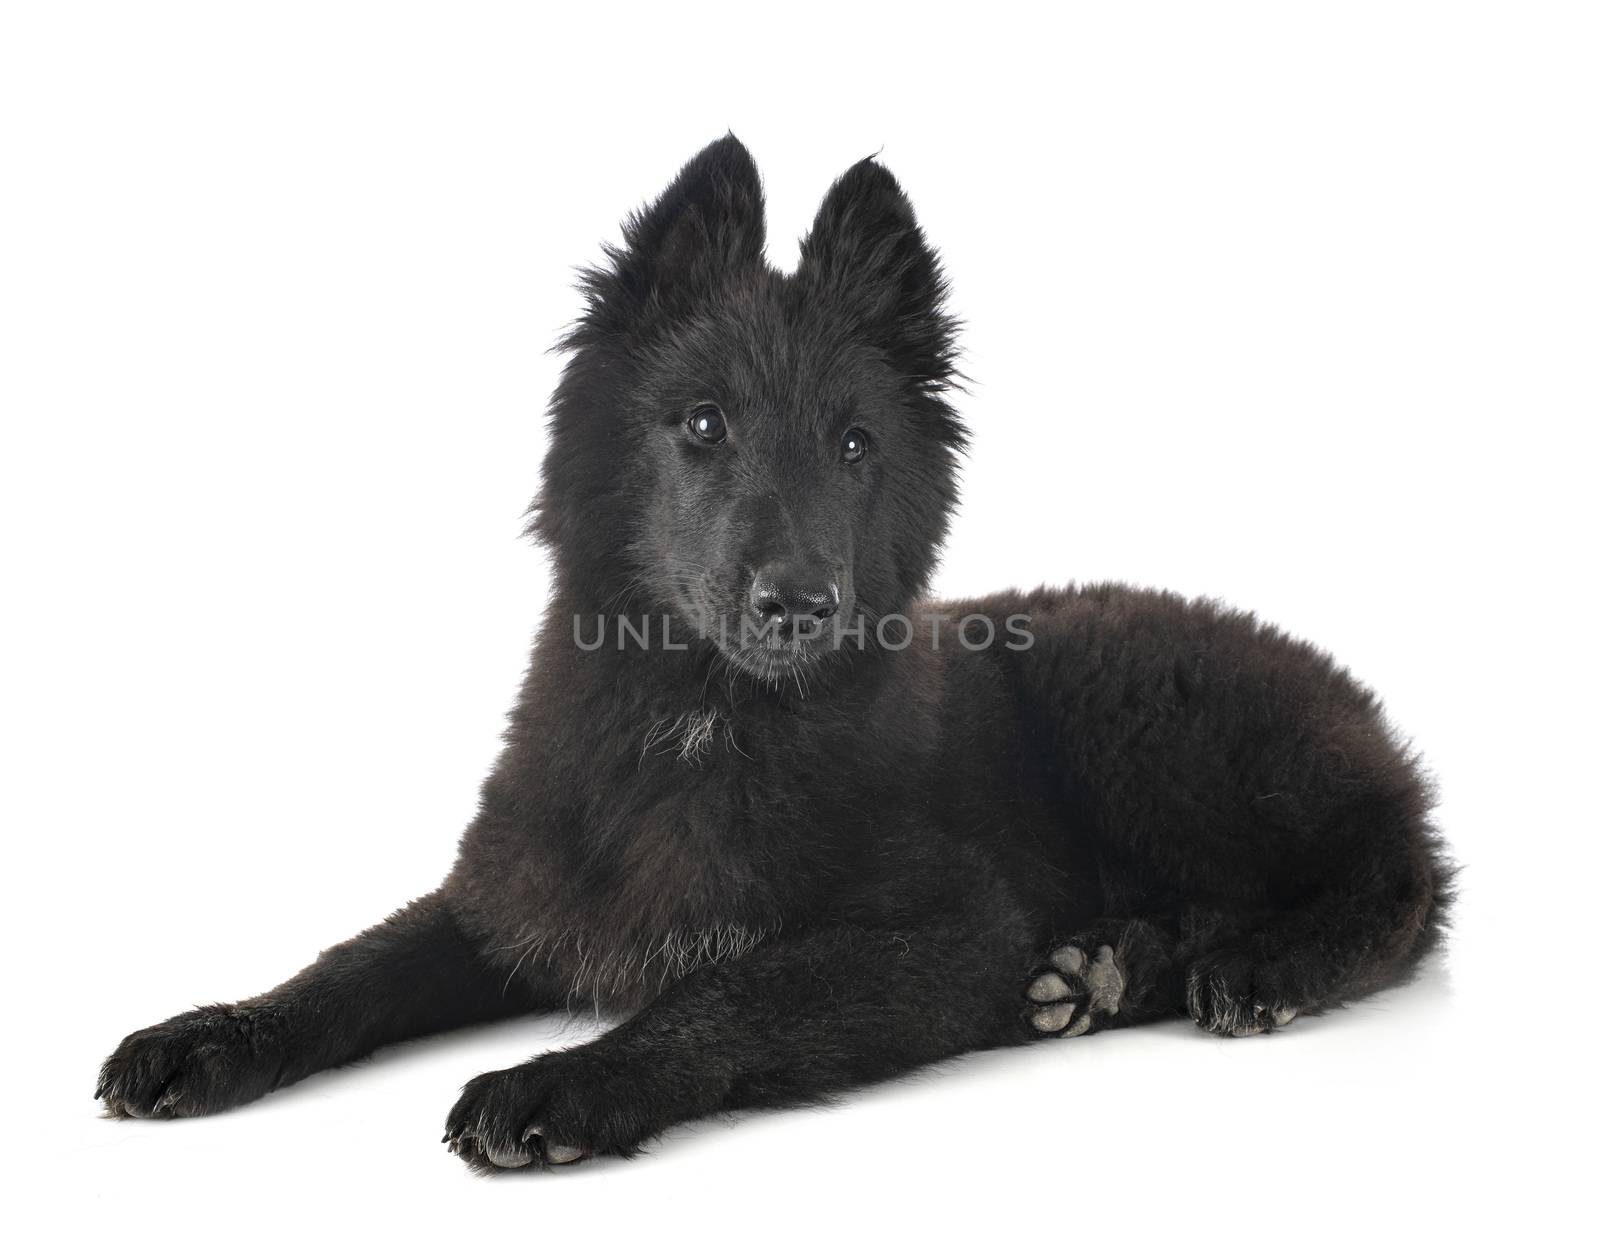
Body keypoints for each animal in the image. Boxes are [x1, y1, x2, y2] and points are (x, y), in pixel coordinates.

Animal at [96, 137, 1452, 1165]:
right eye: (703, 424)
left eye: (855, 444)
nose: (800, 601)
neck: (702, 716)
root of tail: (1366, 713)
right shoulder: (513, 900)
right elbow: (349, 968)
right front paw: (209, 1034)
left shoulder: (945, 931)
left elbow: (727, 993)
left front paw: (562, 1081)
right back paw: (1102, 971)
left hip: (1145, 728)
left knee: (1399, 878)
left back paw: (1258, 963)